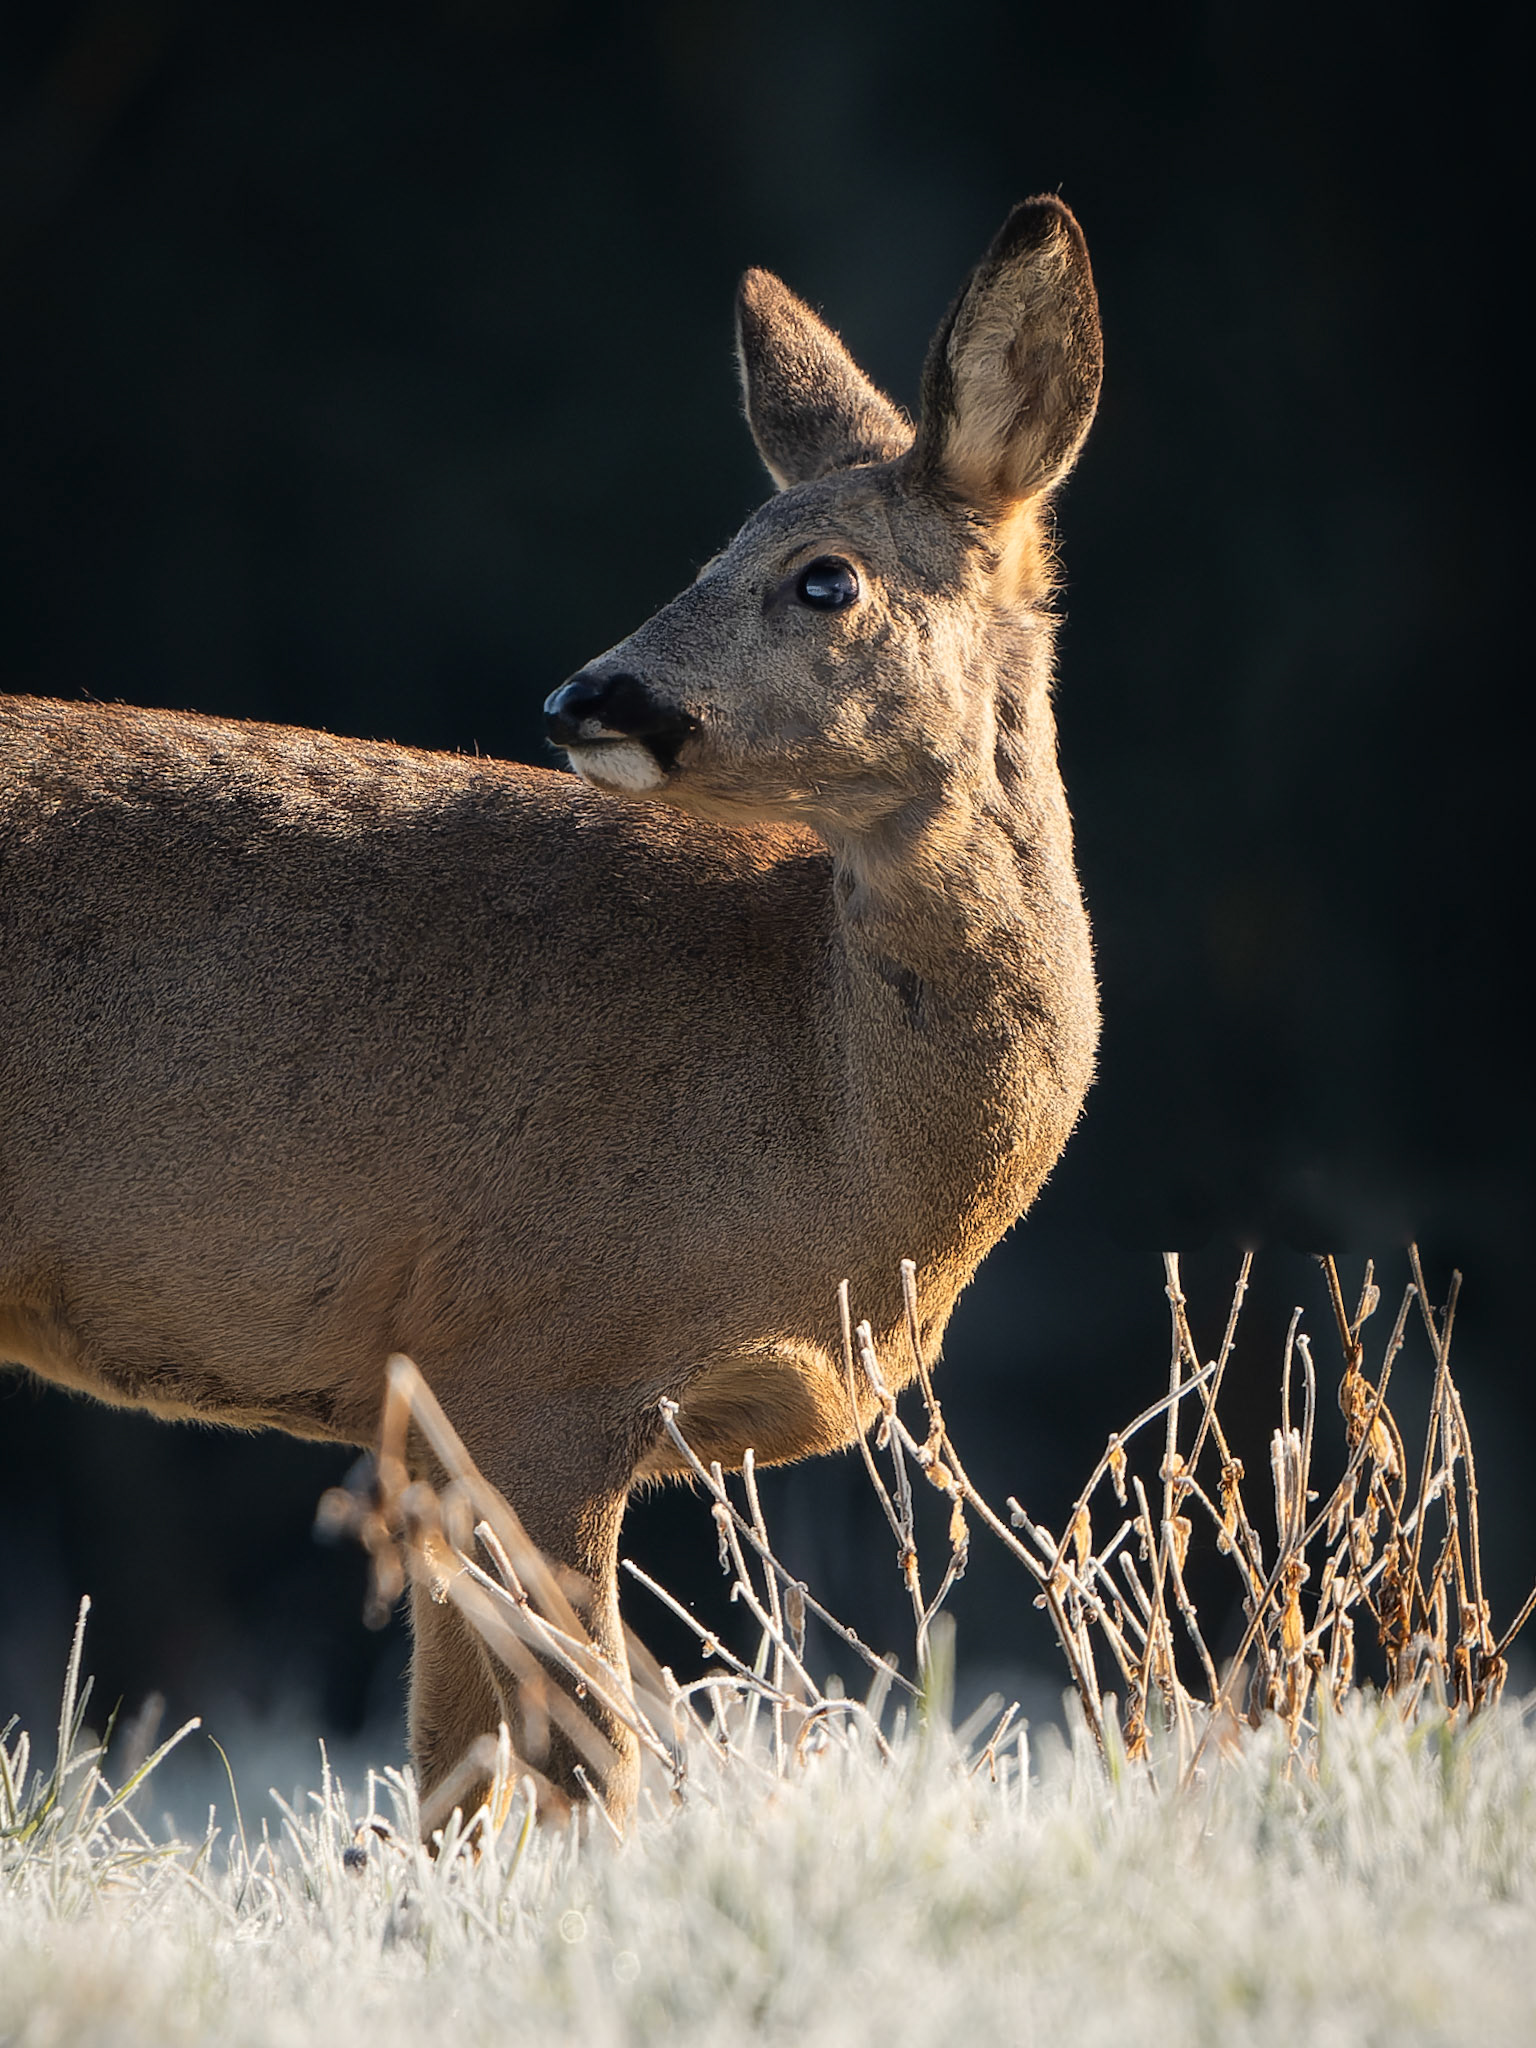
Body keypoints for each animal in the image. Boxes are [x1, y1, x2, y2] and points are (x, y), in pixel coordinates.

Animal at [0, 195, 1101, 1823]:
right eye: (713, 552)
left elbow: (519, 1751)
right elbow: (564, 1755)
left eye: (822, 575)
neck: (827, 1106)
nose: (590, 695)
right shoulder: (527, 1353)